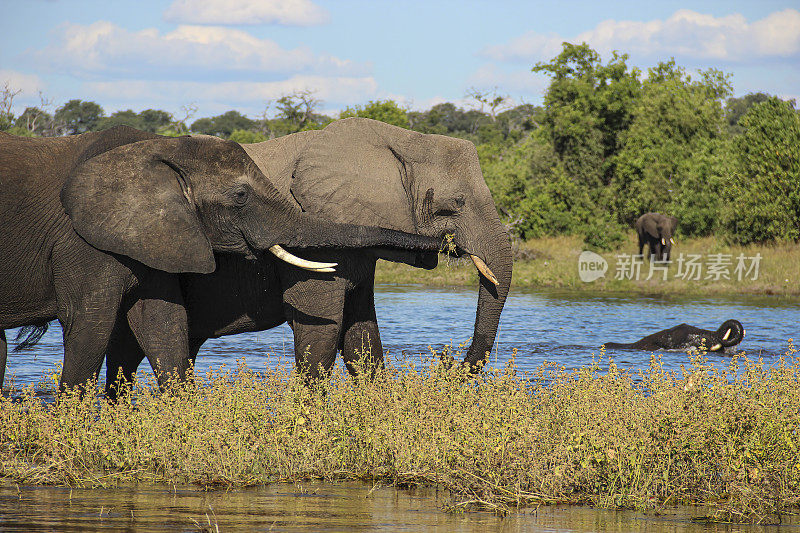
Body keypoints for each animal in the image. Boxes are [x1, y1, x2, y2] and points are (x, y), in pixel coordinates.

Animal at [0, 124, 444, 390]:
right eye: (242, 196)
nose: (443, 238)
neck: (157, 152)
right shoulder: (82, 240)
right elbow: (90, 320)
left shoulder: (156, 236)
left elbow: (160, 319)